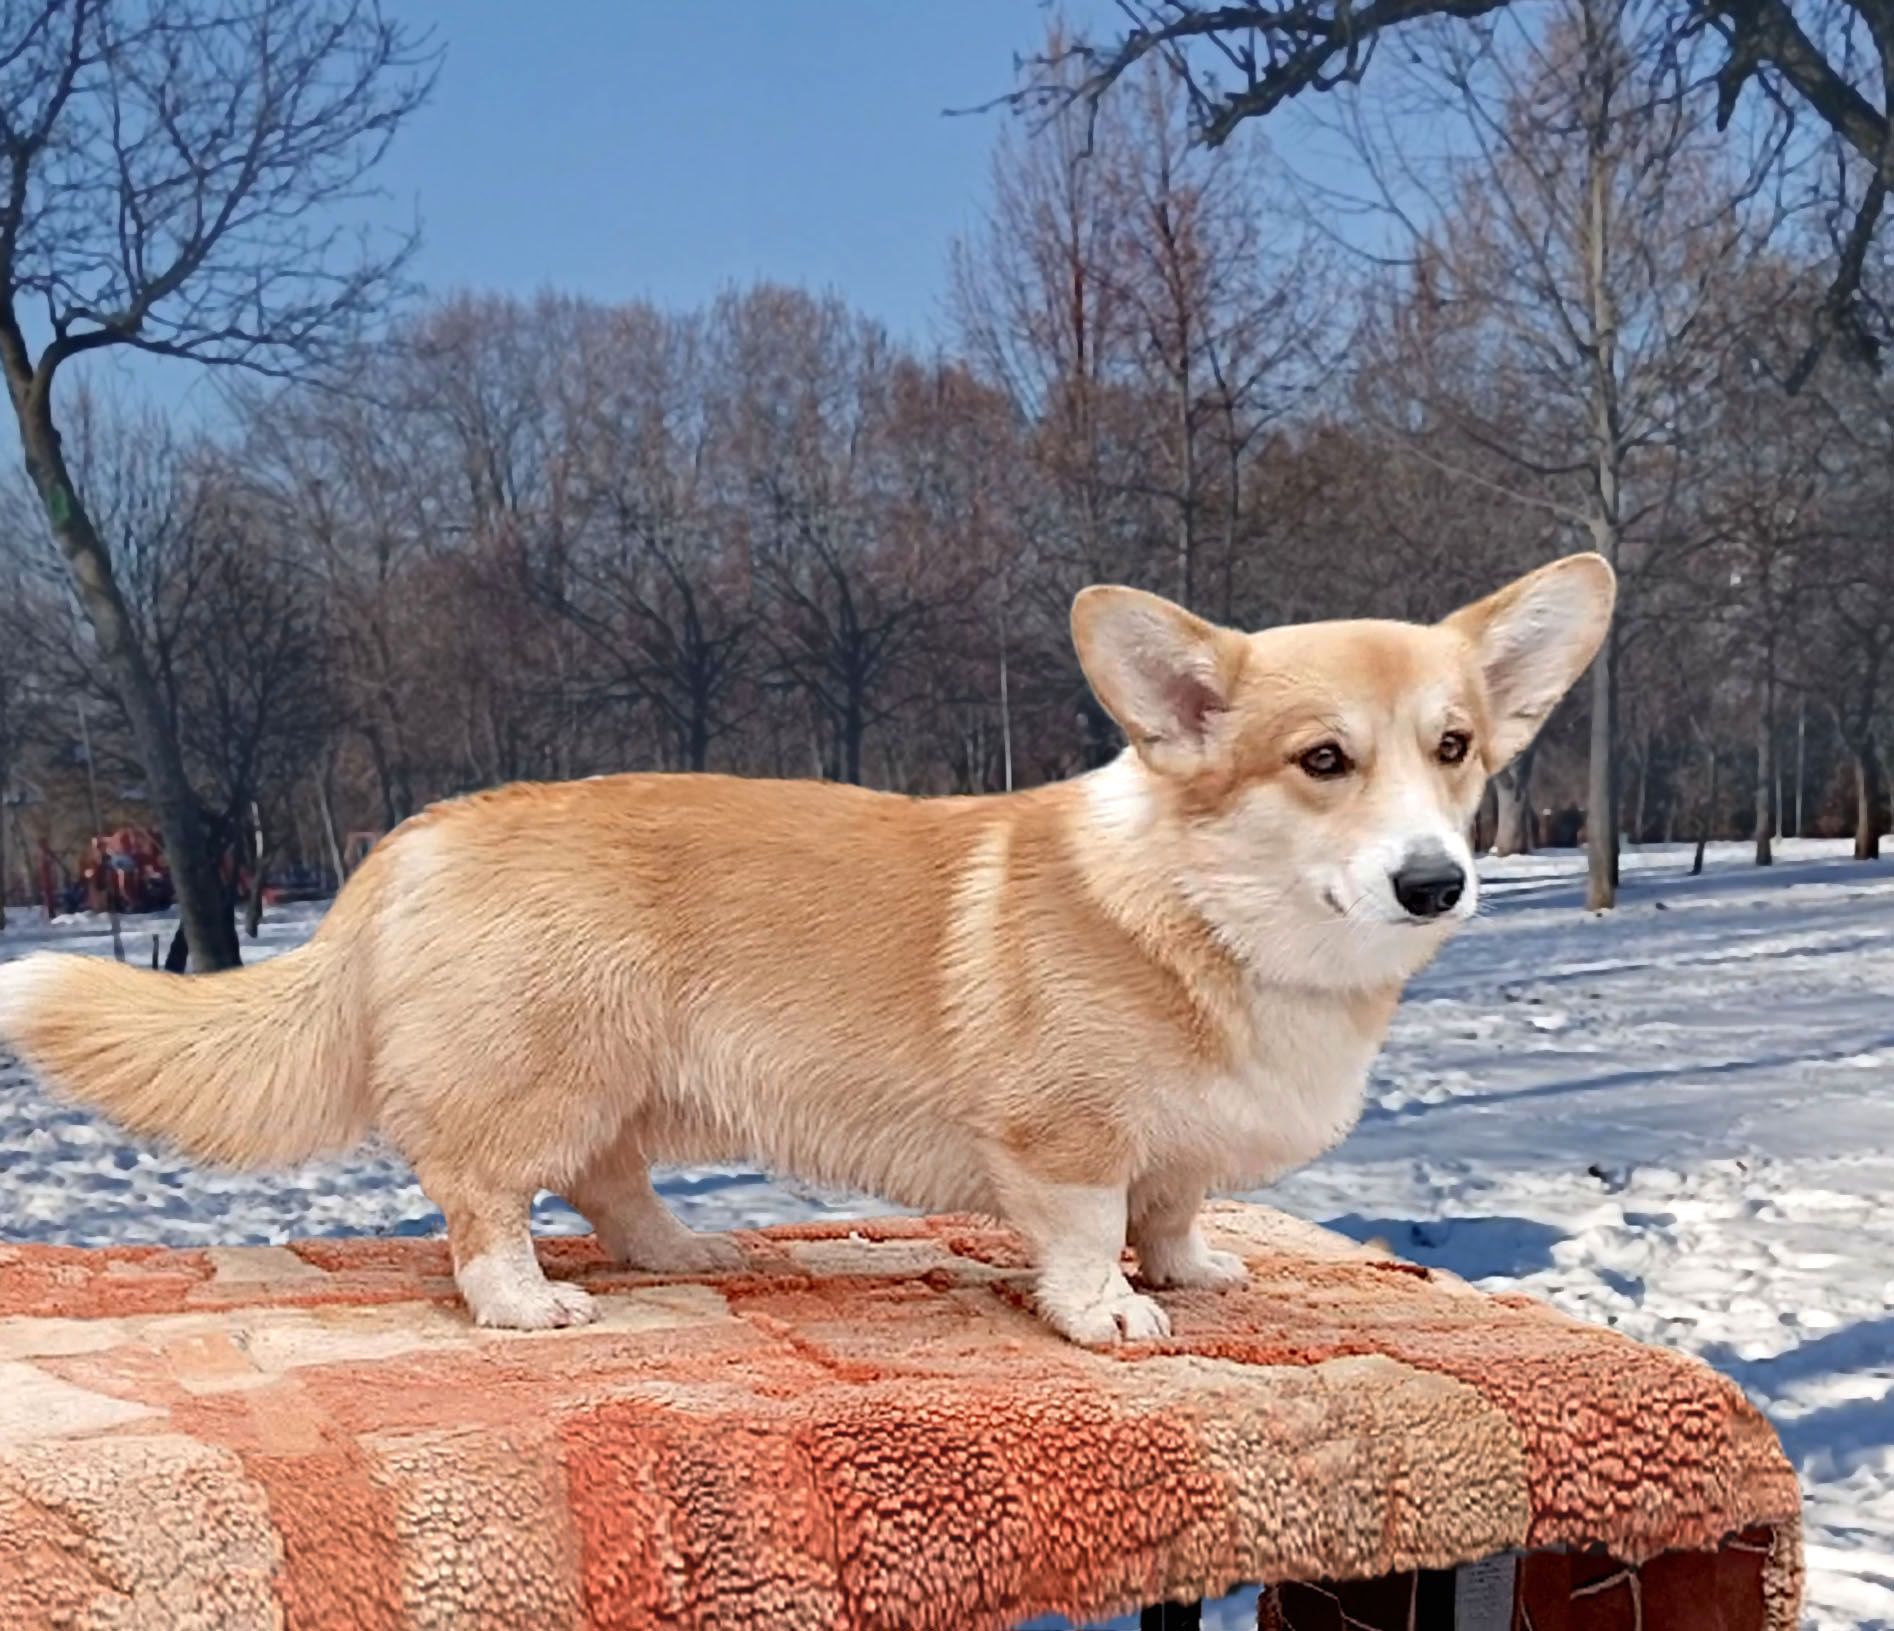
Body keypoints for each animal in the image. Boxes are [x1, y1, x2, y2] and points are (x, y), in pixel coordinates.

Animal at [0, 553, 1613, 1341]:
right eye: (1321, 760)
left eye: (1455, 747)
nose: (1435, 883)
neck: (1219, 915)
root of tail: (410, 839)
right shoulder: (1064, 1138)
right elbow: (1087, 1232)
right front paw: (1110, 1313)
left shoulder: (1169, 1150)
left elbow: (1172, 1205)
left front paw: (1197, 1268)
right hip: (543, 1080)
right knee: (484, 1198)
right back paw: (525, 1301)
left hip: (627, 1085)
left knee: (610, 1184)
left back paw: (684, 1248)